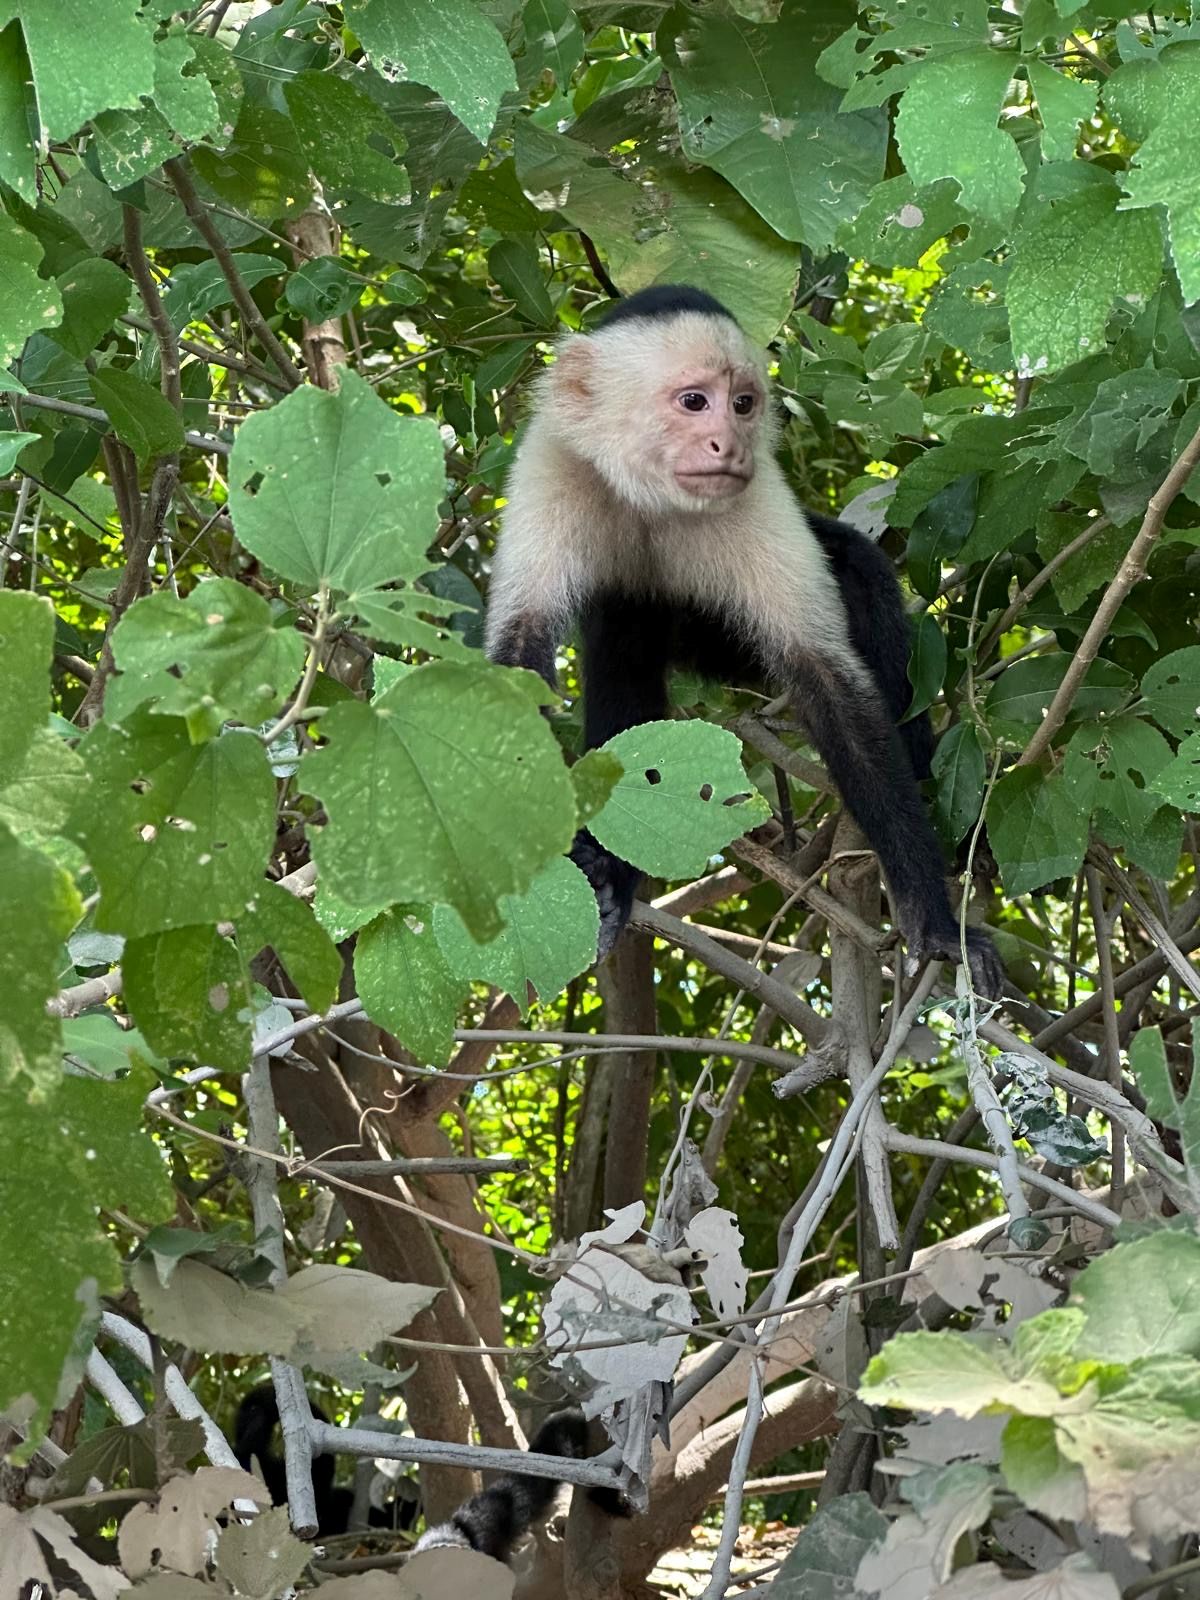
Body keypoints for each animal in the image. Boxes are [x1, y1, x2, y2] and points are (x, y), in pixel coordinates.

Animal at [484, 283, 1002, 998]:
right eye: (693, 401)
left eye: (743, 404)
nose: (726, 443)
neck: (652, 494)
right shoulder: (553, 462)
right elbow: (518, 660)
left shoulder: (758, 496)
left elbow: (830, 686)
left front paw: (933, 922)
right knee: (626, 628)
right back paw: (610, 876)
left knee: (858, 573)